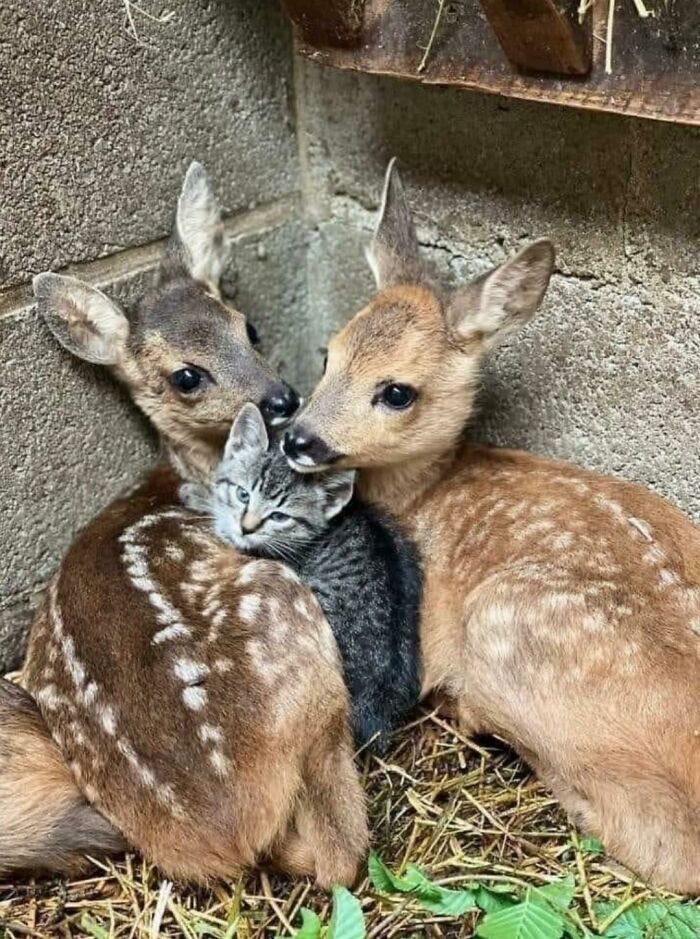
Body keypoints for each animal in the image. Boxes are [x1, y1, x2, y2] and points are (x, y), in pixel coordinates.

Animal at [1, 162, 368, 886]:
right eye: (187, 377)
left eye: (248, 328)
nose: (281, 397)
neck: (186, 479)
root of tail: (224, 827)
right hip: (289, 617)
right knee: (340, 851)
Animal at [282, 160, 700, 895]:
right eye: (328, 354)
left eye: (397, 391)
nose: (299, 439)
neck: (424, 494)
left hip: (507, 626)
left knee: (666, 848)